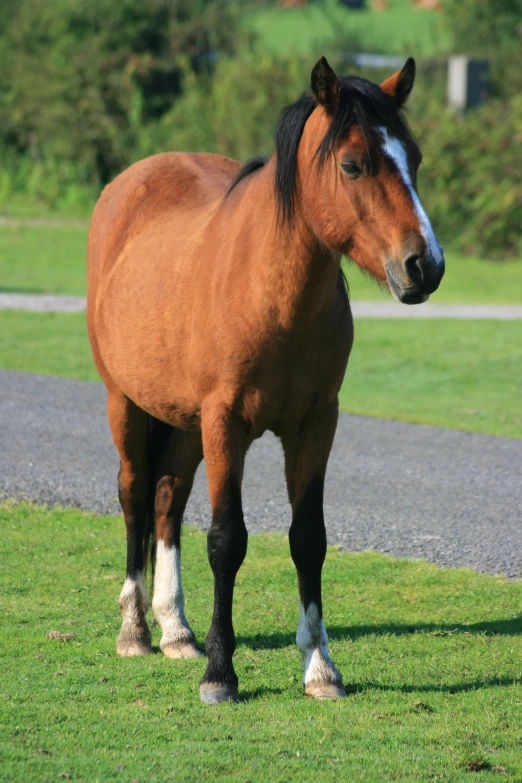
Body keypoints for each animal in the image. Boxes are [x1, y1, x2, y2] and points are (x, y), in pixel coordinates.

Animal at [85, 55, 442, 704]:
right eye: (352, 164)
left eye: (415, 158)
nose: (424, 265)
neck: (271, 293)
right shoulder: (226, 422)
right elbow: (227, 540)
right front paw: (220, 674)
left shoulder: (315, 424)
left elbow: (309, 538)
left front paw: (321, 667)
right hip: (124, 401)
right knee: (133, 493)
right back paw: (136, 629)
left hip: (185, 422)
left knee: (167, 497)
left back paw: (176, 629)